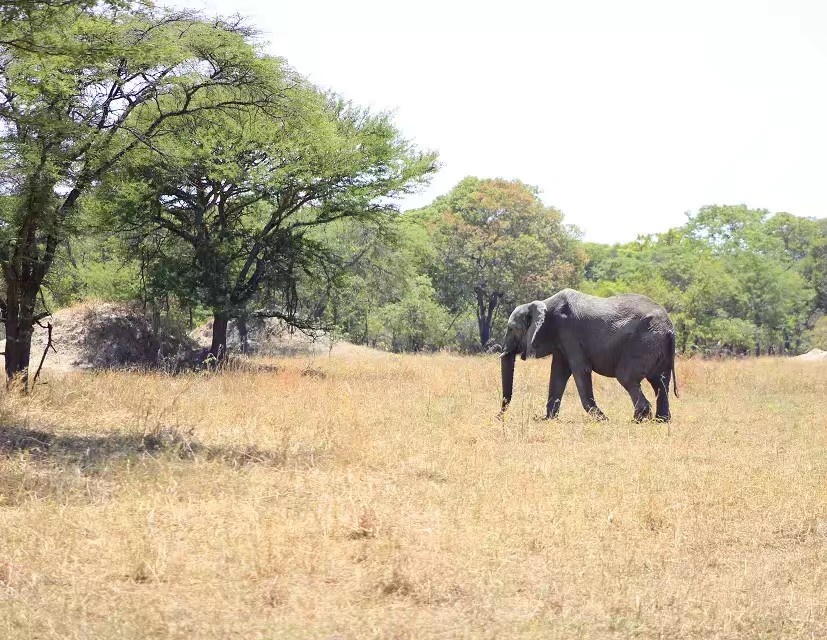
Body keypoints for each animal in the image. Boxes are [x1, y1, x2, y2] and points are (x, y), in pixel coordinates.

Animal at [498, 288, 680, 420]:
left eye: (511, 329)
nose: (499, 417)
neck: (545, 304)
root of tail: (670, 329)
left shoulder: (571, 335)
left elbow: (581, 371)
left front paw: (603, 420)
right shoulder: (561, 342)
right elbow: (558, 374)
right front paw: (547, 419)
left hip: (644, 342)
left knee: (627, 377)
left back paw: (638, 420)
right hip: (657, 346)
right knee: (660, 383)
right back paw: (661, 421)